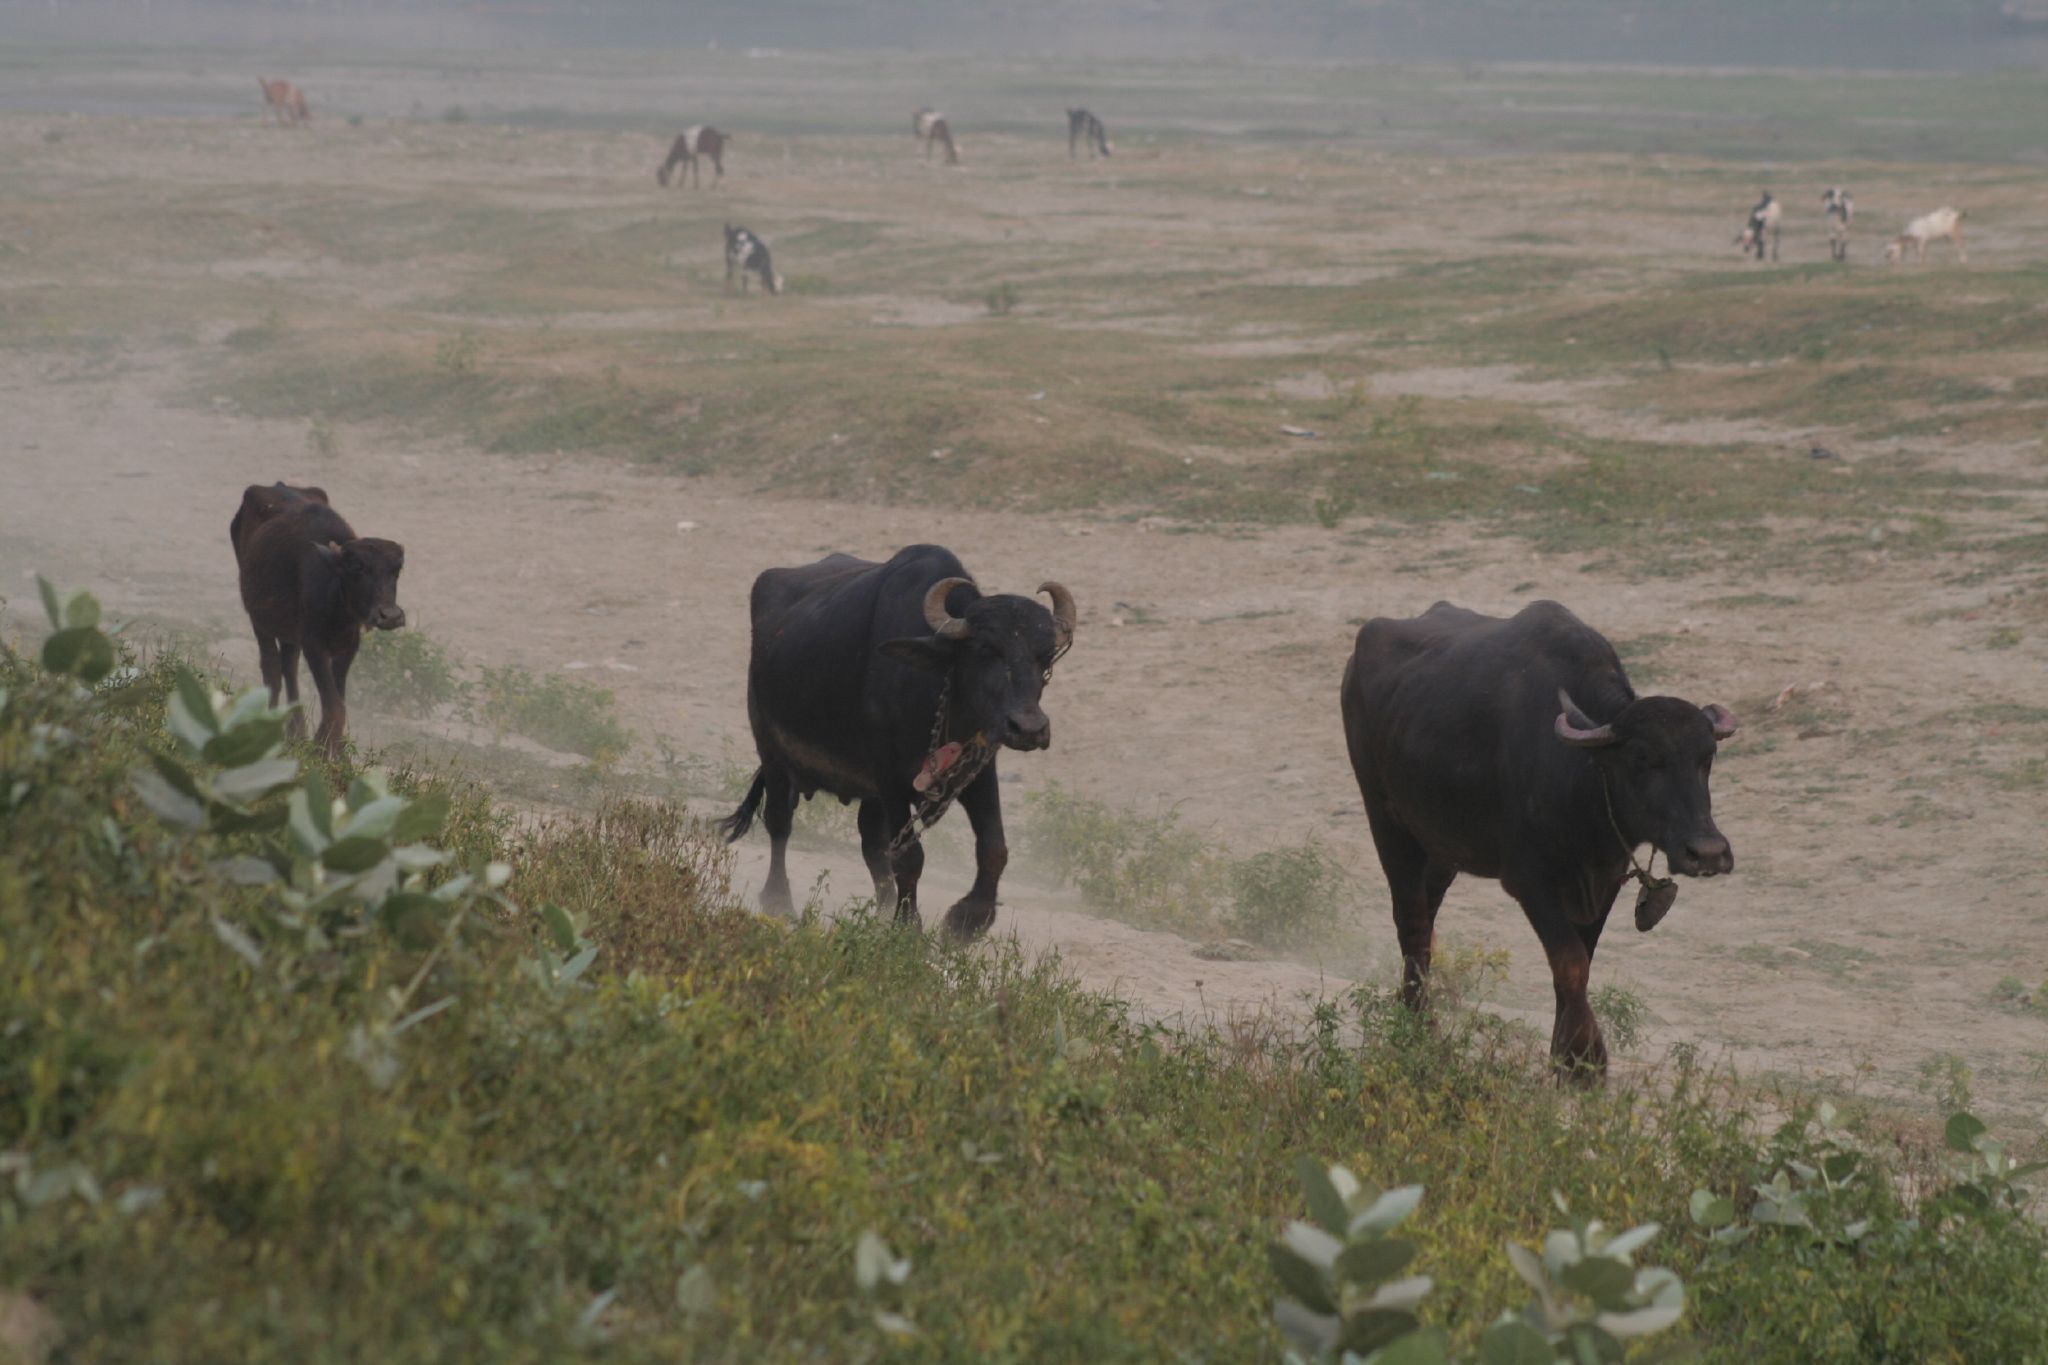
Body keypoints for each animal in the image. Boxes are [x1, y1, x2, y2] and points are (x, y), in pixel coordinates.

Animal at [230, 480, 405, 765]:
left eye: (396, 570)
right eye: (357, 567)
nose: (389, 615)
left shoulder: (347, 648)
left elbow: (339, 701)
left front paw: (338, 756)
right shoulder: (314, 646)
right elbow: (333, 705)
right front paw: (319, 751)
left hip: (289, 631)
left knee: (288, 667)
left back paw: (296, 732)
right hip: (259, 618)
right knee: (272, 670)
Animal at [716, 544, 1073, 941]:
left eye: (1045, 657)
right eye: (985, 648)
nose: (1028, 728)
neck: (939, 691)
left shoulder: (978, 771)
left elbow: (994, 848)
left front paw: (966, 921)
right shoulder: (889, 777)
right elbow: (909, 856)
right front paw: (909, 926)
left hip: (868, 794)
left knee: (871, 841)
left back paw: (882, 909)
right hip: (772, 751)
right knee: (780, 821)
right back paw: (779, 901)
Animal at [1343, 601, 1744, 1080]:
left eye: (1707, 758)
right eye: (1642, 757)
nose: (1708, 852)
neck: (1583, 778)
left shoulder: (1603, 879)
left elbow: (1582, 960)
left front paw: (1570, 1057)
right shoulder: (1529, 881)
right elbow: (1570, 963)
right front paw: (1583, 1062)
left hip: (1440, 847)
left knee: (1426, 914)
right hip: (1387, 822)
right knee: (1412, 924)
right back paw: (1417, 1025)